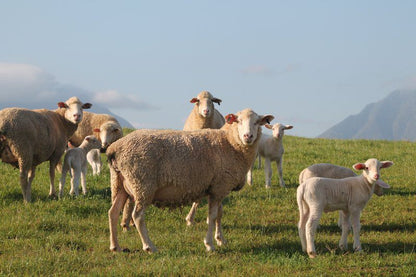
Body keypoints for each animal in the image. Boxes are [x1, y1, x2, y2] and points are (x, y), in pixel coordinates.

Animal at [106, 108, 272, 252]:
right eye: (238, 121)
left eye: (257, 122)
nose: (248, 136)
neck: (229, 143)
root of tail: (115, 148)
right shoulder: (219, 187)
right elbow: (212, 217)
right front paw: (209, 244)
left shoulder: (219, 187)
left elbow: (219, 214)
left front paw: (221, 240)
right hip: (142, 184)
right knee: (138, 216)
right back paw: (149, 247)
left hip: (120, 183)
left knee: (113, 212)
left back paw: (115, 247)